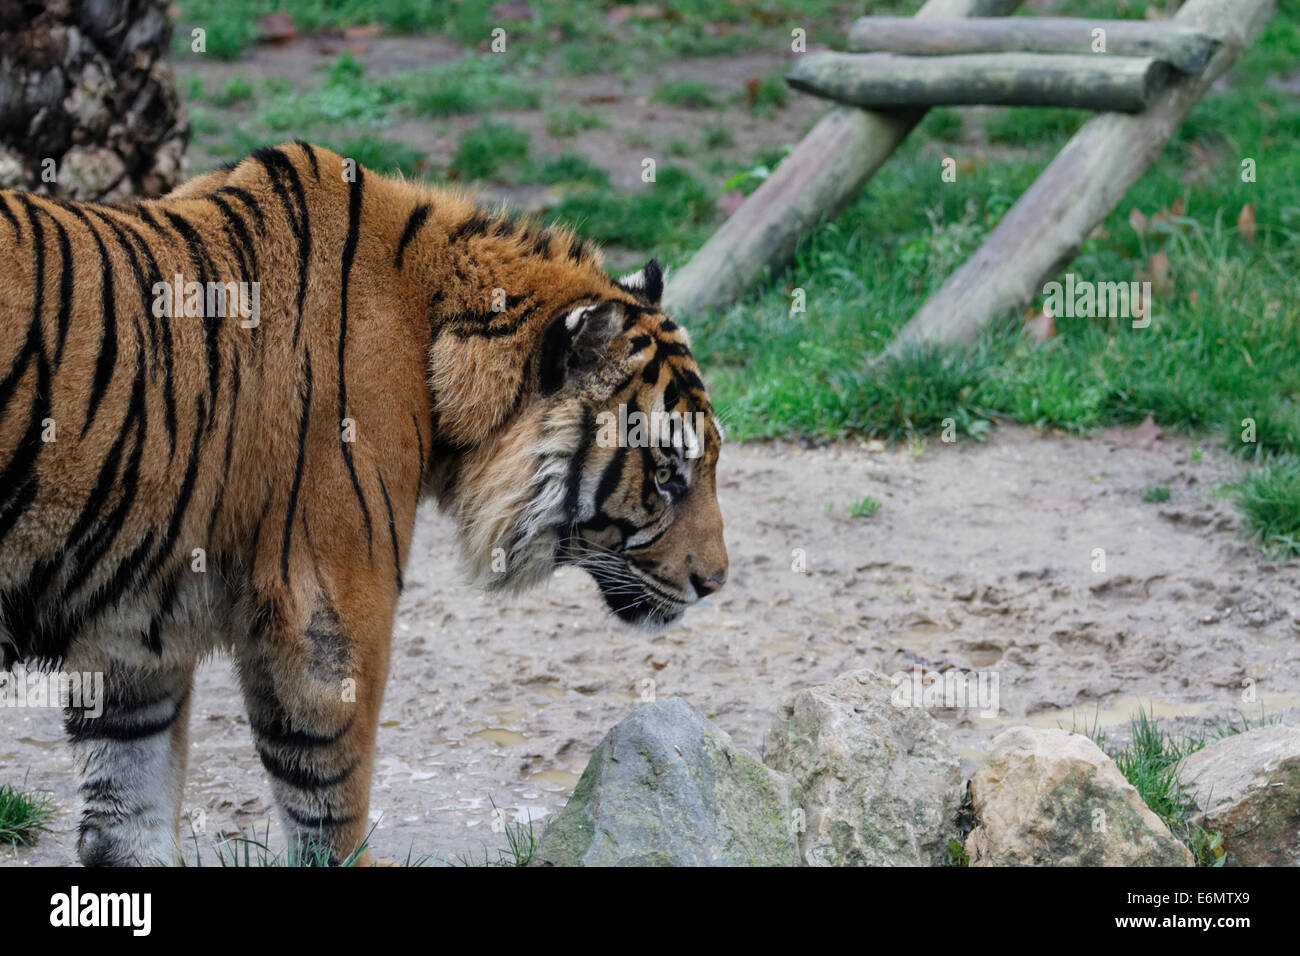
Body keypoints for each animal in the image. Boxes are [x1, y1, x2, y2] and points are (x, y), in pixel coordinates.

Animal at [0, 141, 733, 868]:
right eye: (668, 475)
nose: (717, 583)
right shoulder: (331, 601)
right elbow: (327, 798)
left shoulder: (133, 631)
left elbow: (129, 806)